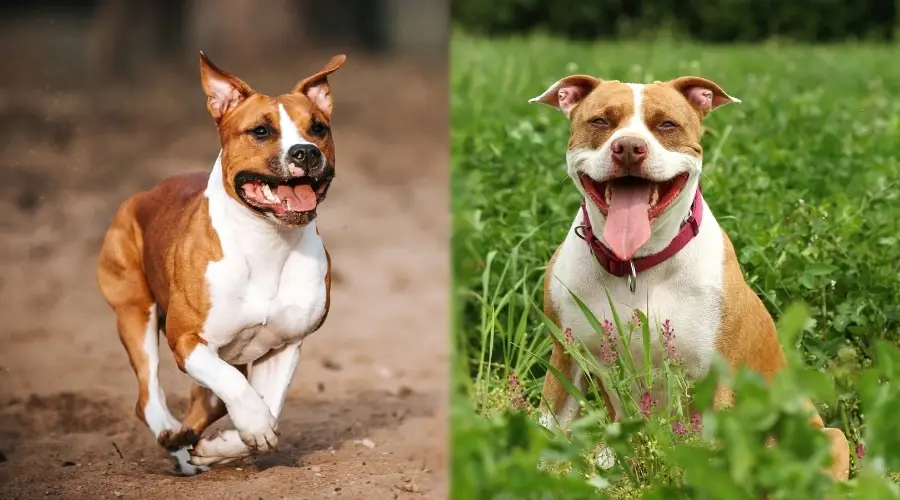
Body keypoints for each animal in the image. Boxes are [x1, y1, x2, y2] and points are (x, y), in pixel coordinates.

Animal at [96, 52, 344, 474]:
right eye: (260, 131)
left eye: (318, 128)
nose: (306, 152)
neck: (267, 242)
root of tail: (146, 193)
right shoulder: (188, 341)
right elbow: (237, 390)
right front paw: (252, 426)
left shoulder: (284, 345)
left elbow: (266, 407)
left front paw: (226, 445)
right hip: (134, 309)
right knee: (149, 394)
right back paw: (172, 436)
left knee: (205, 404)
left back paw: (189, 446)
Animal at [528, 72, 852, 478]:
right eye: (600, 121)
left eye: (667, 125)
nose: (629, 147)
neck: (637, 264)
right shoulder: (567, 357)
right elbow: (548, 430)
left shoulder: (717, 380)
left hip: (826, 437)